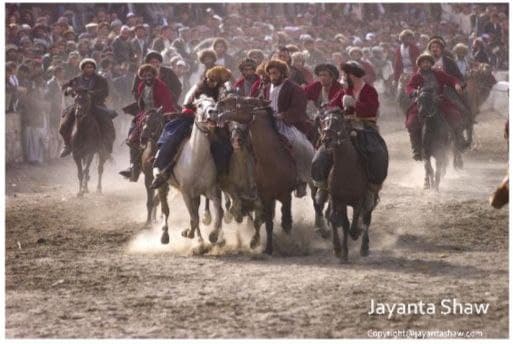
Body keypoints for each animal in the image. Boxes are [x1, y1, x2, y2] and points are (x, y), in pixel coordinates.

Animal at [160, 95, 224, 249]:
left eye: (214, 104)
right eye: (199, 105)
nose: (213, 112)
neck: (197, 158)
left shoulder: (209, 190)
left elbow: (217, 210)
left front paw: (213, 235)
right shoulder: (186, 193)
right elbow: (194, 218)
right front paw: (188, 233)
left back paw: (200, 241)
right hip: (162, 185)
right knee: (165, 209)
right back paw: (165, 235)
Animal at [217, 95, 300, 254]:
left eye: (242, 103)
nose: (221, 101)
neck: (272, 161)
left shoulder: (286, 195)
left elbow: (285, 220)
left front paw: (289, 243)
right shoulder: (264, 196)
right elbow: (265, 222)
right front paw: (265, 247)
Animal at [320, 109, 376, 262]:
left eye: (339, 122)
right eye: (325, 122)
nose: (326, 140)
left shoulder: (359, 199)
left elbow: (355, 221)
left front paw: (356, 233)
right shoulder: (339, 199)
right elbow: (342, 222)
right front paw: (342, 251)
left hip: (369, 197)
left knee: (366, 217)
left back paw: (364, 246)